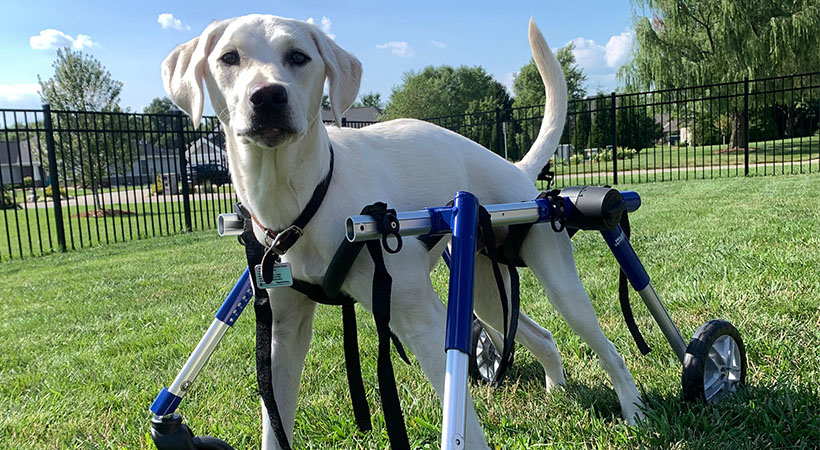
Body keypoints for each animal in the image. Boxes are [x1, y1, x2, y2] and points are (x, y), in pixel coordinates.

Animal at [163, 14, 644, 450]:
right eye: (229, 57)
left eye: (298, 57)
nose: (267, 96)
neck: (304, 198)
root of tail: (515, 169)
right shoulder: (283, 336)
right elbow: (274, 428)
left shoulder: (424, 325)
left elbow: (466, 430)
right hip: (487, 293)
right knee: (542, 337)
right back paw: (557, 392)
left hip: (560, 286)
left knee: (610, 350)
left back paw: (634, 409)